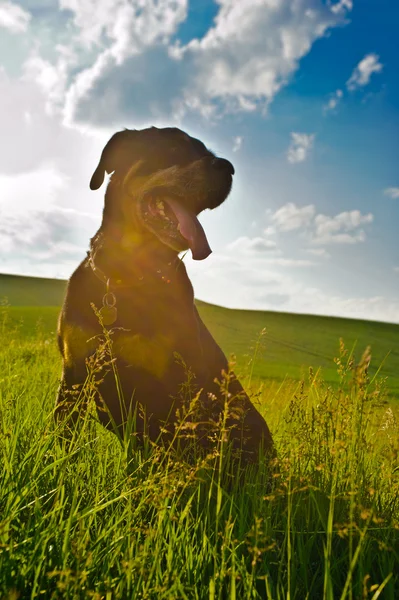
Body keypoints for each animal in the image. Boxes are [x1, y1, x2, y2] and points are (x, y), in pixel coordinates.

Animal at [56, 126, 276, 460]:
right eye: (173, 147)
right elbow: (59, 445)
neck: (126, 278)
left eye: (208, 151)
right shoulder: (74, 374)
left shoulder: (169, 390)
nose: (228, 167)